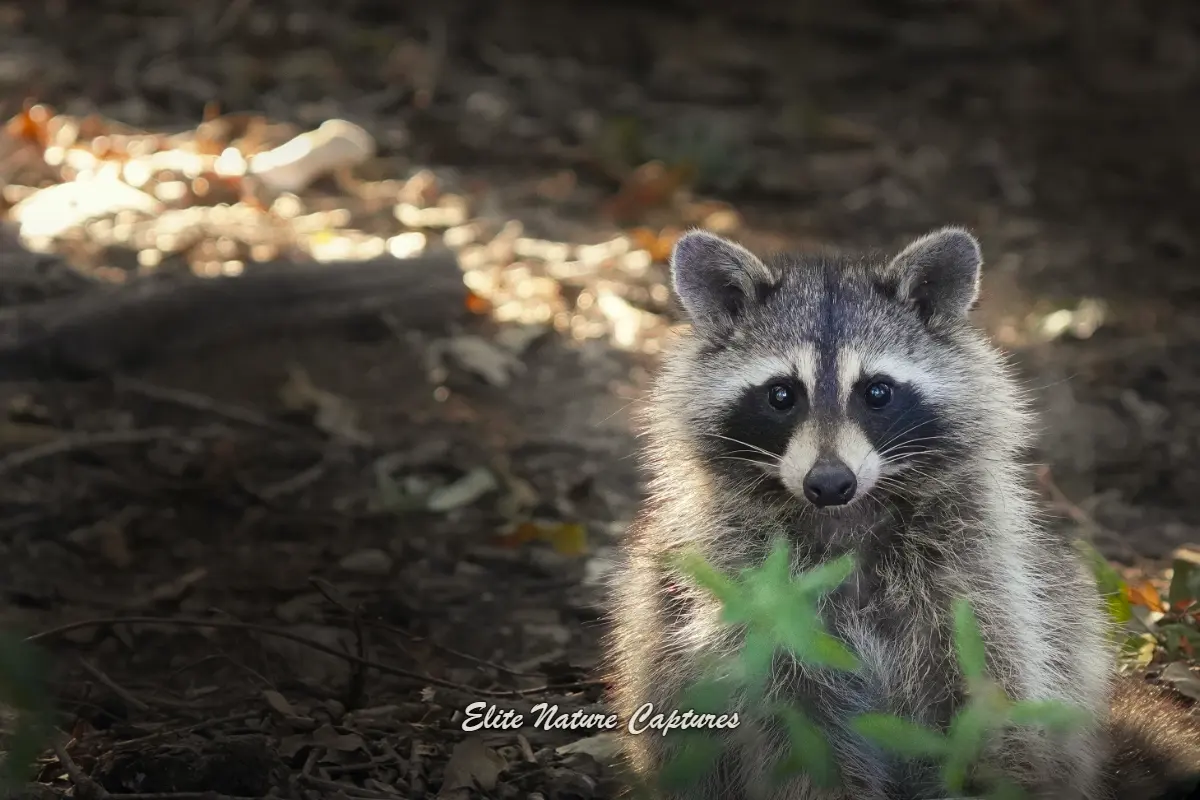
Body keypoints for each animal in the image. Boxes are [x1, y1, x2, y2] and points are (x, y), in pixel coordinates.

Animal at [605, 228, 1200, 800]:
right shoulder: (756, 593)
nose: (829, 483)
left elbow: (992, 692)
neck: (844, 519)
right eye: (781, 395)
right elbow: (795, 728)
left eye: (877, 392)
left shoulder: (975, 575)